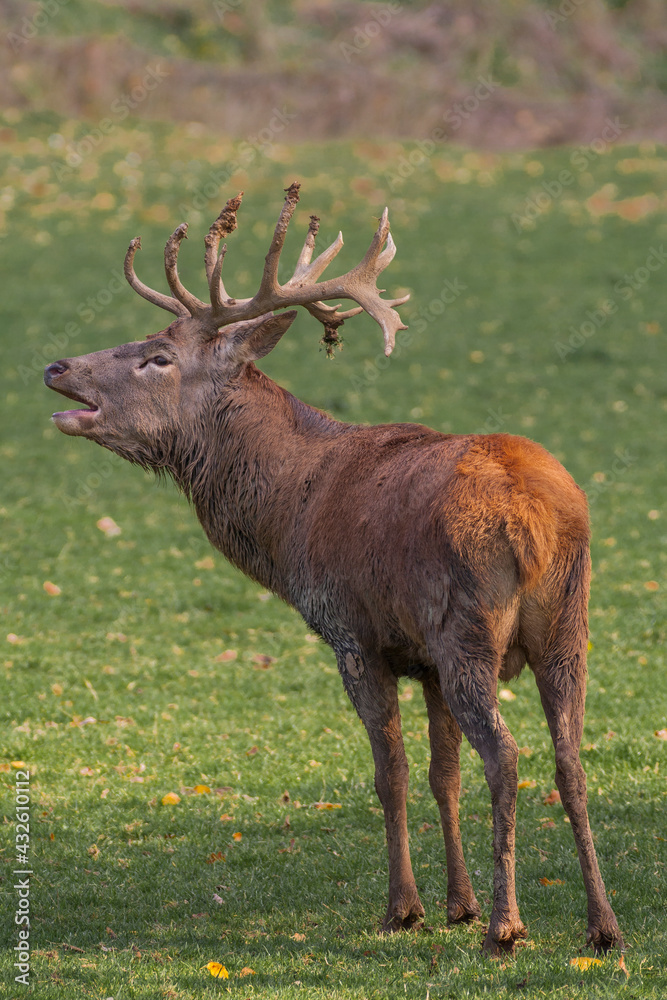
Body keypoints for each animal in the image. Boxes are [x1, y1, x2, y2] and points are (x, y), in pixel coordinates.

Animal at [44, 182, 623, 955]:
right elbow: (442, 773)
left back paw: (507, 926)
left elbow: (392, 772)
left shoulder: (354, 634)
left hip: (469, 628)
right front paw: (457, 904)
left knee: (506, 755)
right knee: (571, 759)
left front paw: (406, 909)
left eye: (158, 356)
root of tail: (538, 522)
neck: (289, 515)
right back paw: (601, 924)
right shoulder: (422, 656)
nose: (56, 368)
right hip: (566, 627)